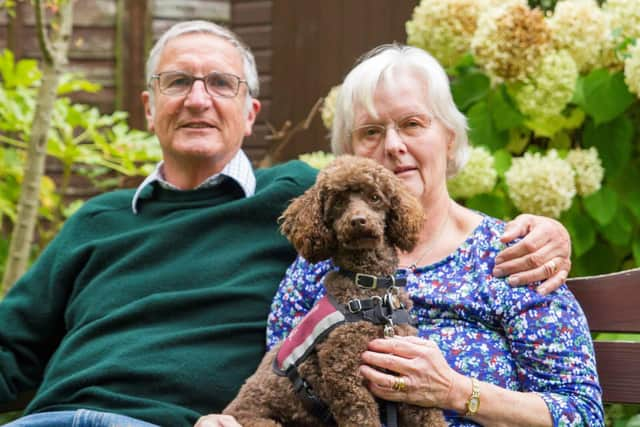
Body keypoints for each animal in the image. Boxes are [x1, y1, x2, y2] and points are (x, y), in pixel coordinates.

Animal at [222, 157, 448, 427]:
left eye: (374, 197)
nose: (358, 221)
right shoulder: (344, 374)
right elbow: (362, 417)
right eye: (339, 202)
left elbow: (427, 413)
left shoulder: (403, 369)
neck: (370, 289)